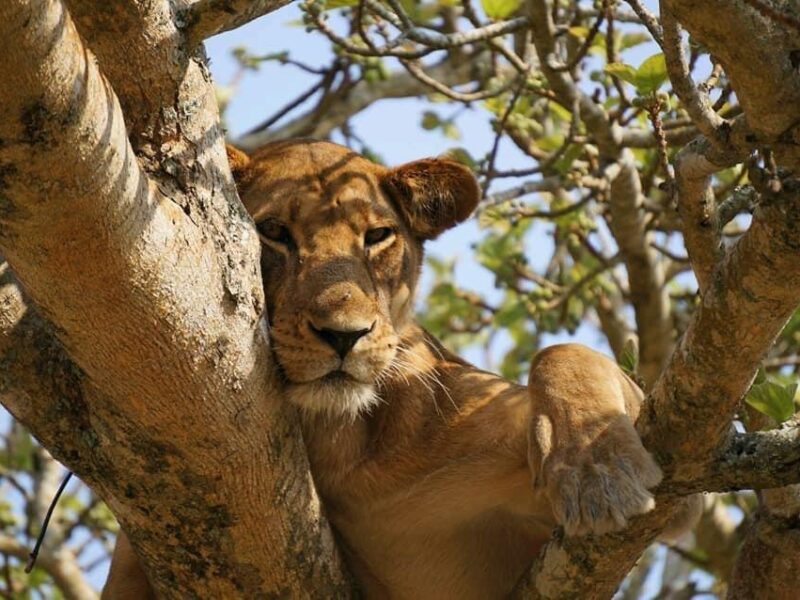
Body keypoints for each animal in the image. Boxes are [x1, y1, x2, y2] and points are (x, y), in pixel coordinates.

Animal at [103, 140, 686, 599]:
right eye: (272, 231)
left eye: (377, 235)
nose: (344, 335)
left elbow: (563, 354)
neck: (342, 445)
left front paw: (597, 468)